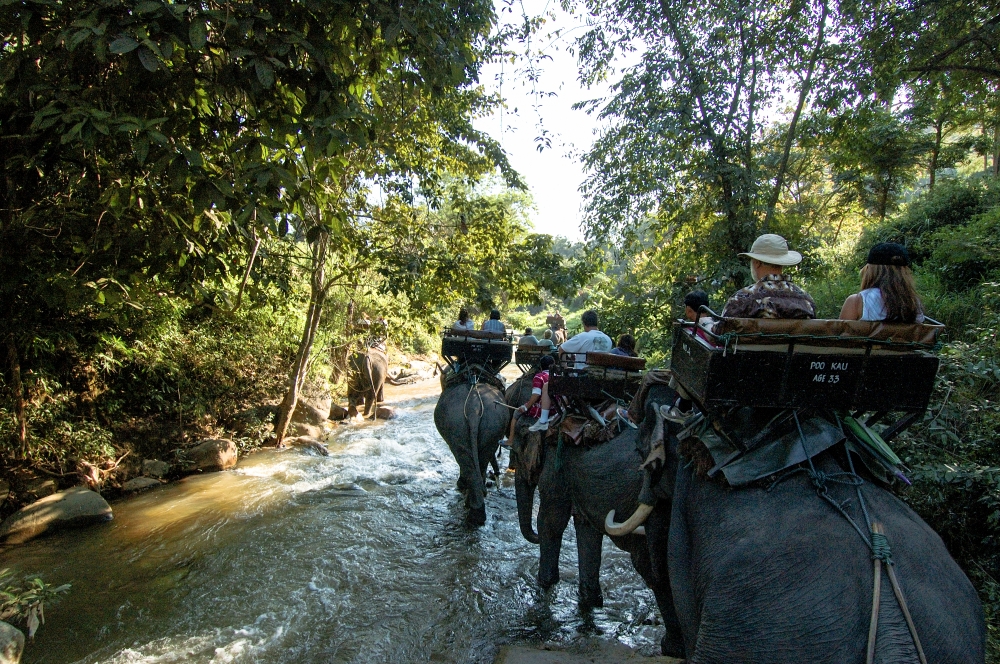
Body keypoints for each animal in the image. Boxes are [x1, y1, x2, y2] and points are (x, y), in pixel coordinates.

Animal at [432, 376, 508, 528]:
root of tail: (474, 407)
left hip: (456, 426)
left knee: (466, 461)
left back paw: (473, 511)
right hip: (490, 426)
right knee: (481, 460)